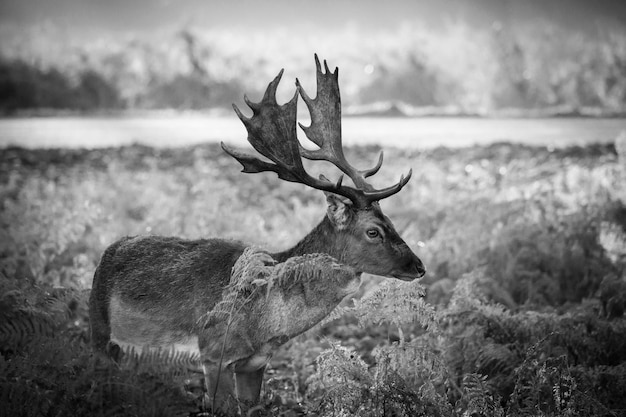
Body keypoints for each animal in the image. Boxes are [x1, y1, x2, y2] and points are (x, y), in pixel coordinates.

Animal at [89, 54, 424, 412]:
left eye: (390, 220)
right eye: (373, 231)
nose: (419, 266)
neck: (266, 323)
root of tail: (108, 252)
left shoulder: (255, 363)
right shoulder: (213, 352)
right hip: (99, 332)